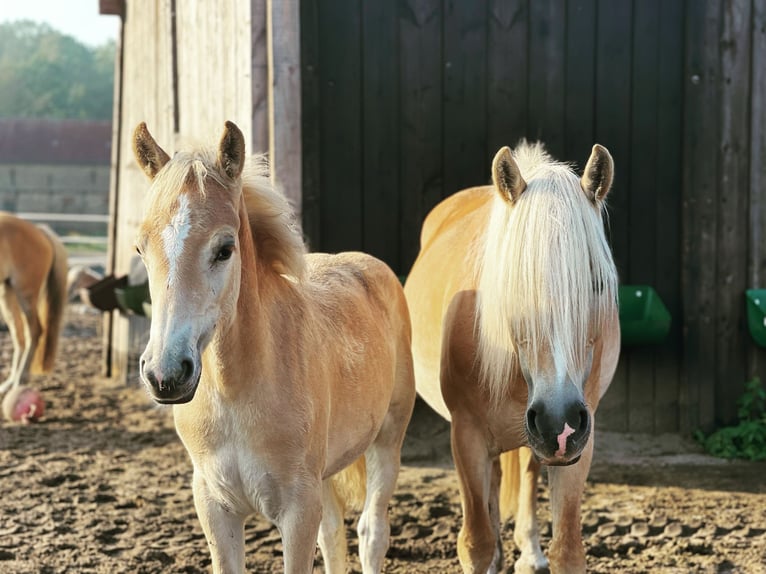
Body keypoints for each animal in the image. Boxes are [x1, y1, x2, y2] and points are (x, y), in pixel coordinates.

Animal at [0, 215, 68, 396]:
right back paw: (10, 383)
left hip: (26, 294)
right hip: (7, 292)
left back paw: (20, 380)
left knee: (35, 332)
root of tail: (40, 231)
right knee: (19, 336)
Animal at [134, 121, 420, 574]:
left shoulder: (298, 510)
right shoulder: (216, 508)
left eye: (224, 249)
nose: (166, 374)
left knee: (371, 533)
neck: (237, 392)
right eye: (141, 249)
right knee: (334, 535)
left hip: (387, 440)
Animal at [404, 141, 620, 574]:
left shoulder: (579, 443)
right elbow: (476, 542)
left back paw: (528, 551)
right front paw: (490, 555)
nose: (559, 422)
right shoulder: (466, 436)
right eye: (515, 282)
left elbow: (568, 549)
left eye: (596, 283)